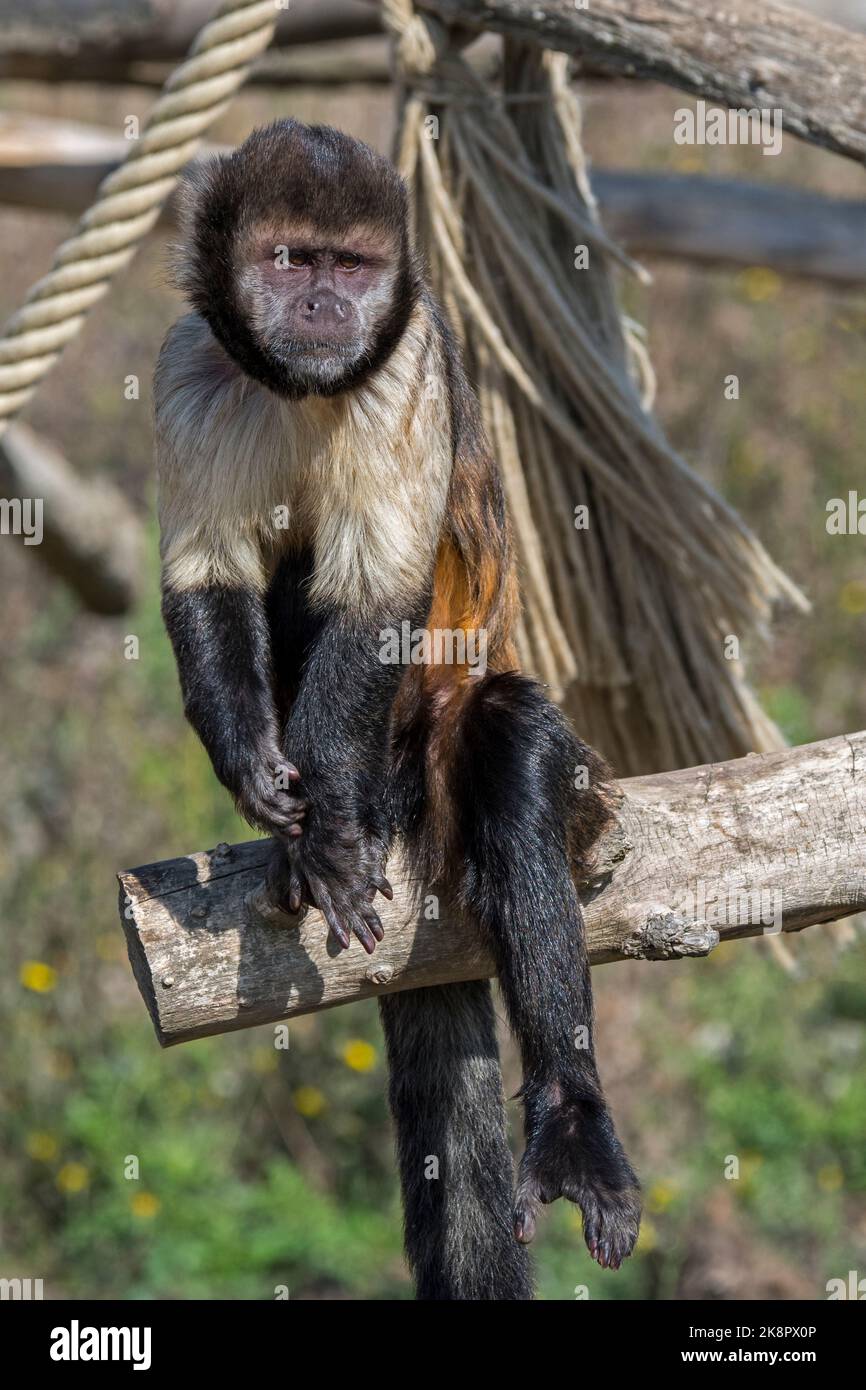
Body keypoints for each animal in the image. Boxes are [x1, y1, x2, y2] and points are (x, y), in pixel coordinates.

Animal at [155, 122, 639, 1301]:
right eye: (292, 260)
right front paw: (257, 773)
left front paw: (330, 821)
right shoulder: (189, 362)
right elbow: (208, 580)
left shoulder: (406, 356)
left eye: (353, 265)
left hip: (440, 738)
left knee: (507, 744)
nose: (327, 304)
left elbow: (377, 597)